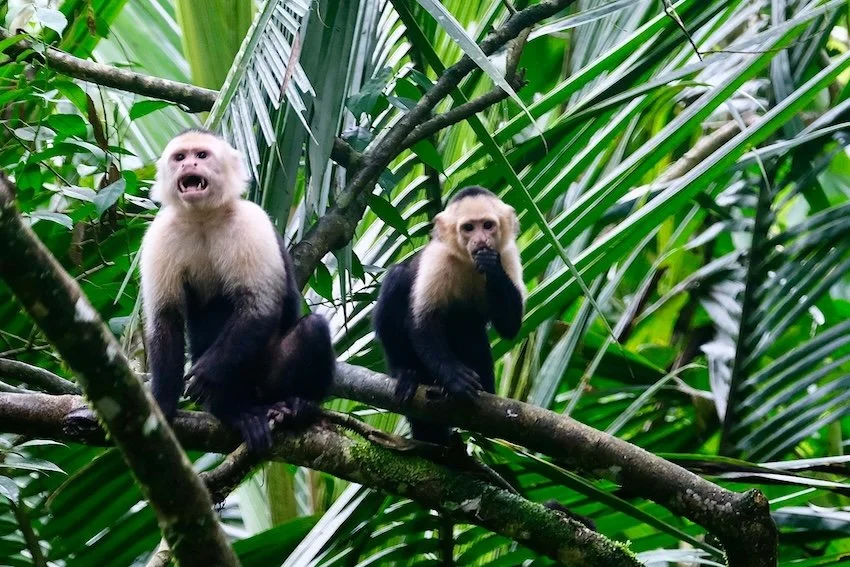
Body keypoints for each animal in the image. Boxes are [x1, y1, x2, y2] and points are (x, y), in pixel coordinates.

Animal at [140, 128, 335, 452]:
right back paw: (234, 411)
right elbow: (166, 319)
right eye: (179, 157)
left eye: (201, 155)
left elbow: (259, 306)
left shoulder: (250, 222)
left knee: (312, 328)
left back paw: (301, 404)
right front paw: (162, 404)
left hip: (269, 381)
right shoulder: (161, 234)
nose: (188, 165)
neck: (203, 218)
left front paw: (205, 374)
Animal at [373, 186, 526, 444]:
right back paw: (405, 372)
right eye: (468, 228)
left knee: (467, 322)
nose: (480, 240)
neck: (468, 261)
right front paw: (454, 377)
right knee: (397, 278)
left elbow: (510, 325)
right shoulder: (438, 258)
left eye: (487, 225)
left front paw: (491, 265)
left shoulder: (508, 255)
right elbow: (422, 323)